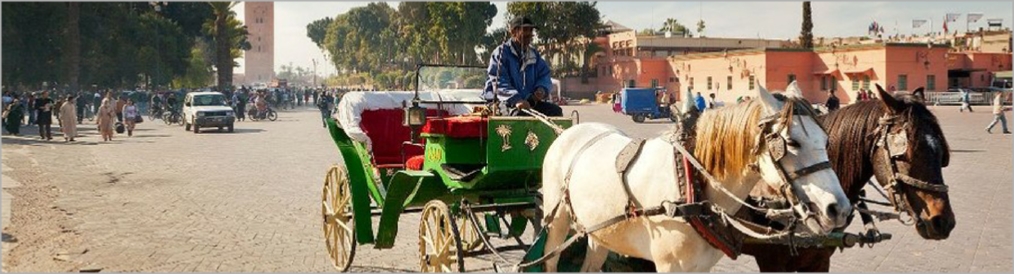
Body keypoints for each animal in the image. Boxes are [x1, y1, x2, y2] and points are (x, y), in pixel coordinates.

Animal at [543, 85, 851, 271]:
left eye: (826, 141)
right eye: (792, 143)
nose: (839, 209)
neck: (693, 188)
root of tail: (569, 132)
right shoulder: (669, 265)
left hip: (599, 229)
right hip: (557, 219)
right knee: (551, 257)